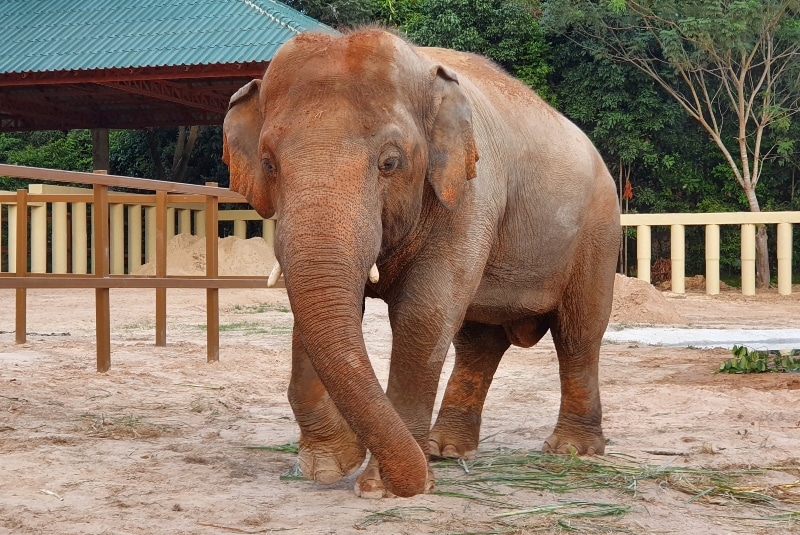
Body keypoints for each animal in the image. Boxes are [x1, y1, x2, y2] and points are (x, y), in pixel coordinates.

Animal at [222, 28, 620, 498]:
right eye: (269, 163)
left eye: (390, 162)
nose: (357, 461)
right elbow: (319, 309)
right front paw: (328, 465)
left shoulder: (471, 193)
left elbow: (423, 314)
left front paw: (383, 487)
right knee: (479, 341)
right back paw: (444, 450)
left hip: (597, 231)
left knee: (578, 333)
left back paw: (571, 452)